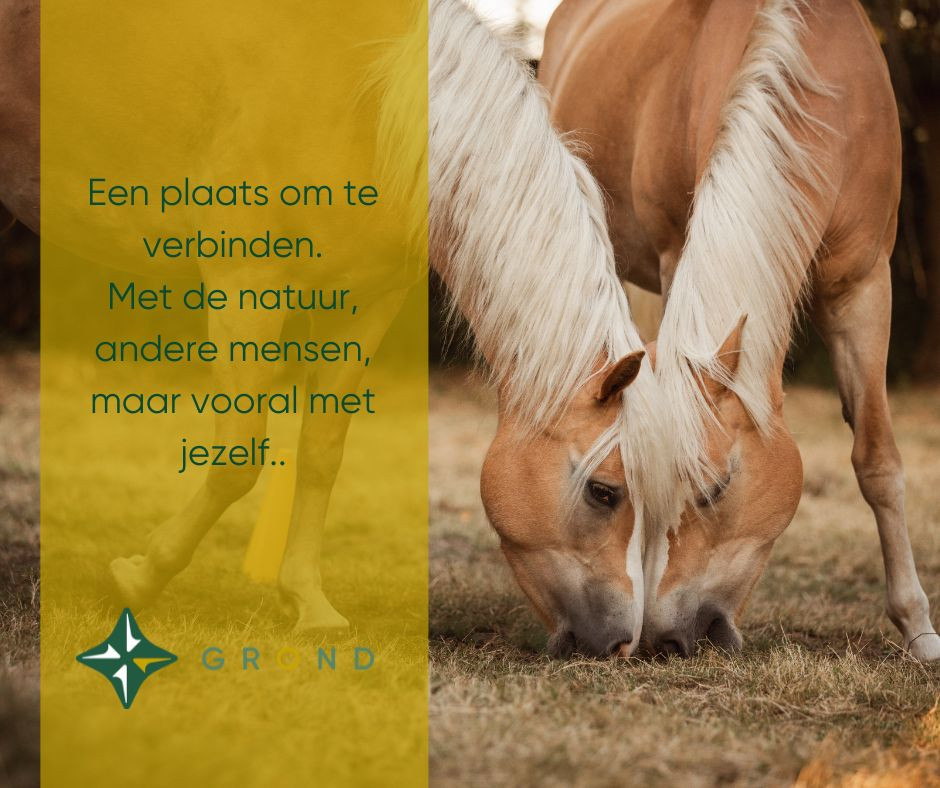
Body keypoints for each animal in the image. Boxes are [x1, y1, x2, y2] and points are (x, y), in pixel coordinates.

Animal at [0, 0, 661, 657]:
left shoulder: (364, 302)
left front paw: (307, 602)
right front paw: (141, 576)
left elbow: (322, 451)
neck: (359, 96)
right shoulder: (247, 279)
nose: (621, 642)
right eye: (605, 492)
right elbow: (239, 454)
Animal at [540, 0, 940, 661]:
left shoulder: (864, 287)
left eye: (717, 488)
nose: (671, 638)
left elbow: (878, 457)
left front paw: (918, 628)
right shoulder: (677, 254)